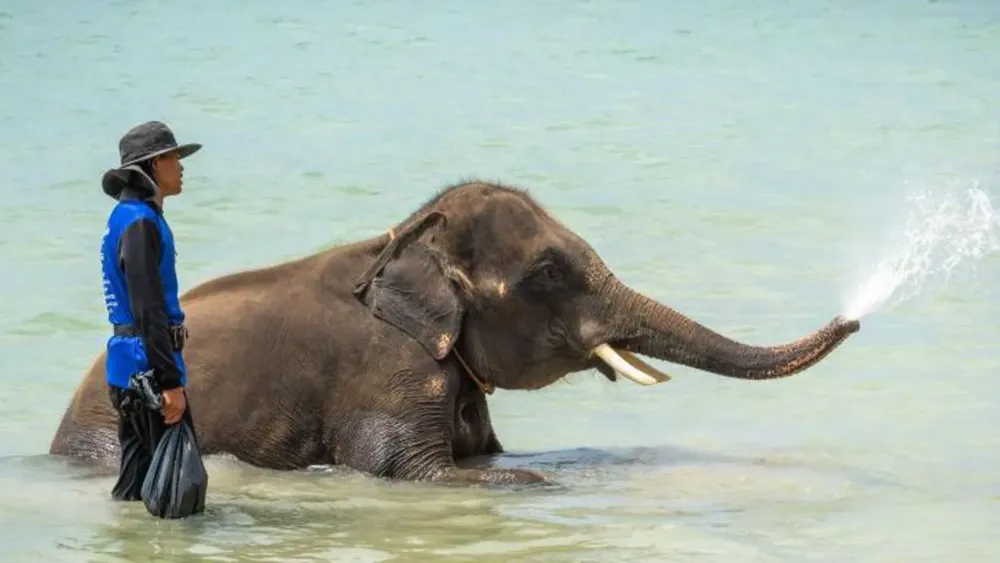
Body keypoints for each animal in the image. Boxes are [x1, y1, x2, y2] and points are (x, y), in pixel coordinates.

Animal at [48, 181, 860, 484]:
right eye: (547, 273)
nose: (857, 314)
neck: (402, 237)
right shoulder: (386, 370)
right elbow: (411, 470)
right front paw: (533, 482)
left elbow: (484, 454)